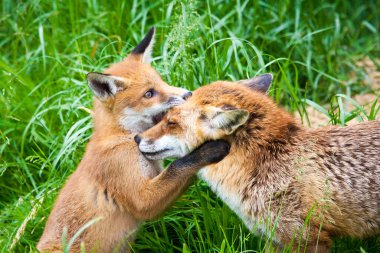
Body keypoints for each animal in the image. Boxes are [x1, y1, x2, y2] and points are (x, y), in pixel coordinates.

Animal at [37, 26, 230, 252]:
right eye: (149, 93)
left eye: (162, 81)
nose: (188, 94)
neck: (121, 136)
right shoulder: (141, 198)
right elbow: (179, 166)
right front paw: (210, 149)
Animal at [137, 72, 380, 251]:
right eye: (166, 118)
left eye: (171, 122)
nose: (137, 138)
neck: (267, 164)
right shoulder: (273, 239)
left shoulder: (307, 238)